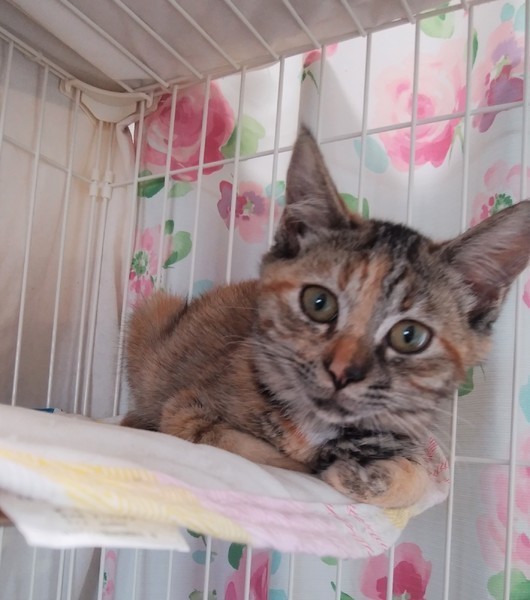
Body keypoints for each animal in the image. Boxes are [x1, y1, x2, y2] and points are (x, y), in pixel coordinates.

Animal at [123, 127, 530, 508]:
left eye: (409, 336)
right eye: (318, 303)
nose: (342, 371)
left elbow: (416, 478)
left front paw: (369, 472)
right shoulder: (186, 410)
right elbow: (267, 454)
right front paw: (324, 463)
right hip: (153, 312)